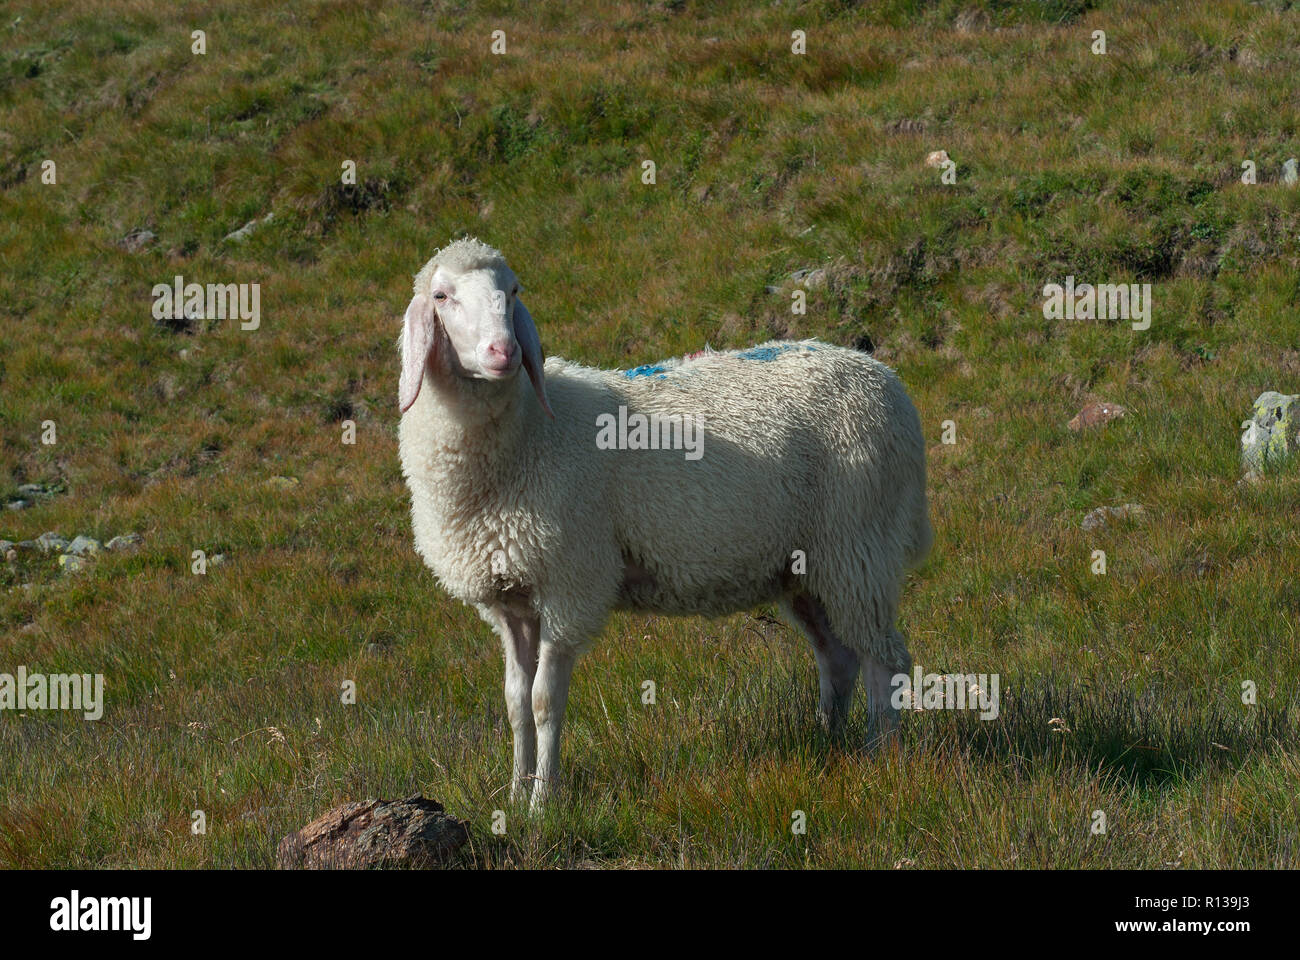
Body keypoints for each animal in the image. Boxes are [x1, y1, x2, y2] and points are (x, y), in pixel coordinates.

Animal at [397, 235, 935, 806]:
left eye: (513, 290)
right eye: (441, 295)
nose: (506, 353)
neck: (528, 436)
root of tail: (886, 380)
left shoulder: (570, 585)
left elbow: (544, 702)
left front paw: (545, 802)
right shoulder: (511, 601)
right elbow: (516, 702)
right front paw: (516, 797)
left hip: (859, 546)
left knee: (886, 660)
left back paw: (882, 757)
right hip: (807, 567)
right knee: (838, 657)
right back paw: (828, 742)